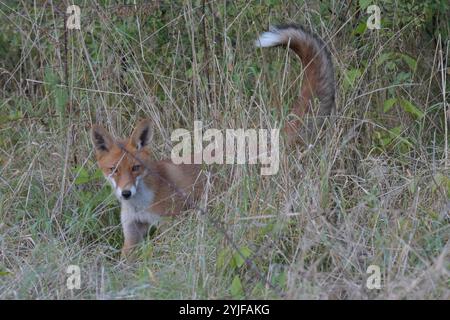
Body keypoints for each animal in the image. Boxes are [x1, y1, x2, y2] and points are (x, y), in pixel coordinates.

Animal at [91, 119, 204, 256]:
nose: (126, 193)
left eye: (135, 168)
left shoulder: (169, 226)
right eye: (114, 169)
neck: (141, 206)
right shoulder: (131, 232)